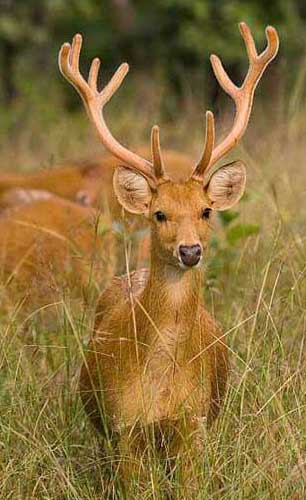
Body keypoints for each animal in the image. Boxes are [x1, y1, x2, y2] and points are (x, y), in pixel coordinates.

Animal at [58, 23, 278, 492]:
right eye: (159, 213)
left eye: (206, 210)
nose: (190, 250)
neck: (161, 383)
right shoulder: (124, 426)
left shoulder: (193, 423)